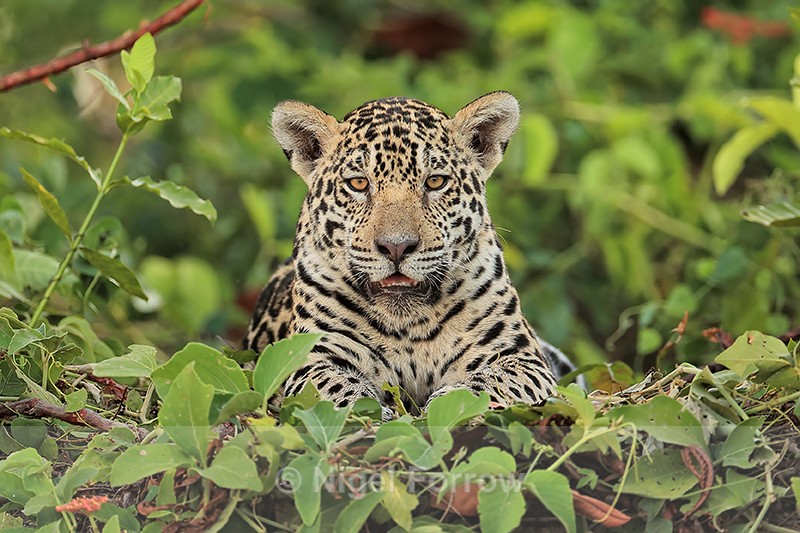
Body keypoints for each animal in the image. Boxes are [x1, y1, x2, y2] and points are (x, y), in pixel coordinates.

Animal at [243, 92, 579, 417]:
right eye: (358, 183)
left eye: (435, 181)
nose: (396, 246)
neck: (410, 327)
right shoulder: (311, 359)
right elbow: (336, 393)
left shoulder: (520, 357)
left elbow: (488, 384)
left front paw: (447, 404)